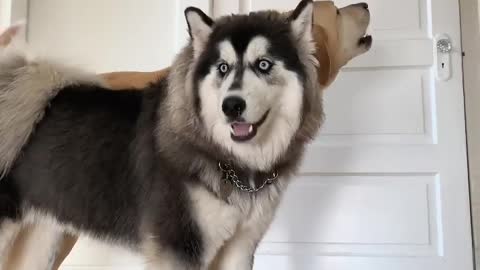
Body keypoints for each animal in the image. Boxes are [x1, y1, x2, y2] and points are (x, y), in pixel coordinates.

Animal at [0, 1, 372, 268]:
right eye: (223, 67)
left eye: (264, 64)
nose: (231, 106)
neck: (228, 159)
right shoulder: (180, 247)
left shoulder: (239, 247)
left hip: (42, 235)